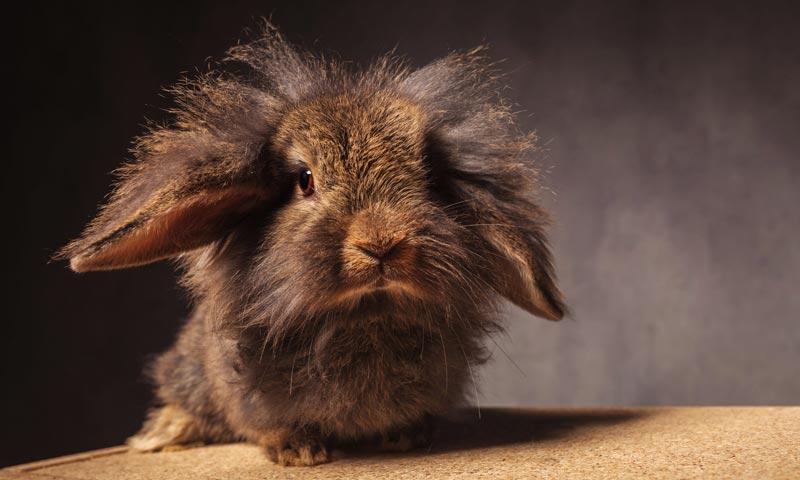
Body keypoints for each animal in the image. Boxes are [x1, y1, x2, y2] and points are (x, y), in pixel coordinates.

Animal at [56, 24, 564, 466]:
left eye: (429, 178)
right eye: (304, 179)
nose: (382, 244)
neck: (365, 315)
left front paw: (407, 436)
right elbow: (269, 424)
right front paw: (299, 453)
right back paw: (162, 434)